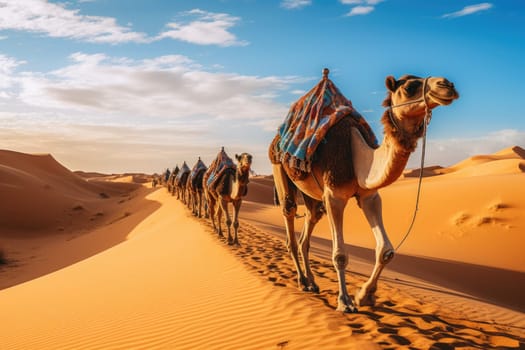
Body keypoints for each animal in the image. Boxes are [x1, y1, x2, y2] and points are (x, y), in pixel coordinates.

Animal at [268, 69, 456, 314]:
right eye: (408, 88)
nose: (447, 85)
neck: (357, 156)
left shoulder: (369, 196)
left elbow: (386, 250)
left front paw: (364, 296)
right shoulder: (334, 195)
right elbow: (339, 255)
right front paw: (345, 301)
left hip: (310, 192)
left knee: (309, 223)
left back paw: (312, 282)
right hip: (279, 167)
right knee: (290, 215)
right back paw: (302, 281)